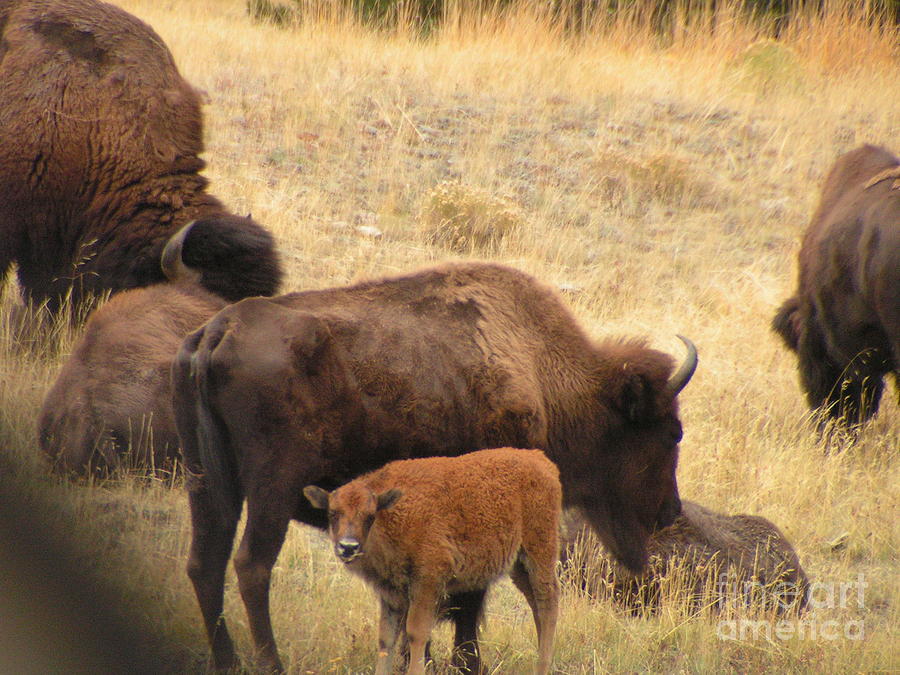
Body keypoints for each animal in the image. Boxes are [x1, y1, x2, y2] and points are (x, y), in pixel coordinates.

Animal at [304, 448, 562, 675]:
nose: (348, 546)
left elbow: (416, 632)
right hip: (518, 565)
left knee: (547, 602)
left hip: (539, 552)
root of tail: (541, 460)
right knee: (536, 606)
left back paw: (542, 666)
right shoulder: (391, 592)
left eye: (369, 515)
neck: (393, 512)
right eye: (332, 513)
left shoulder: (427, 581)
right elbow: (386, 638)